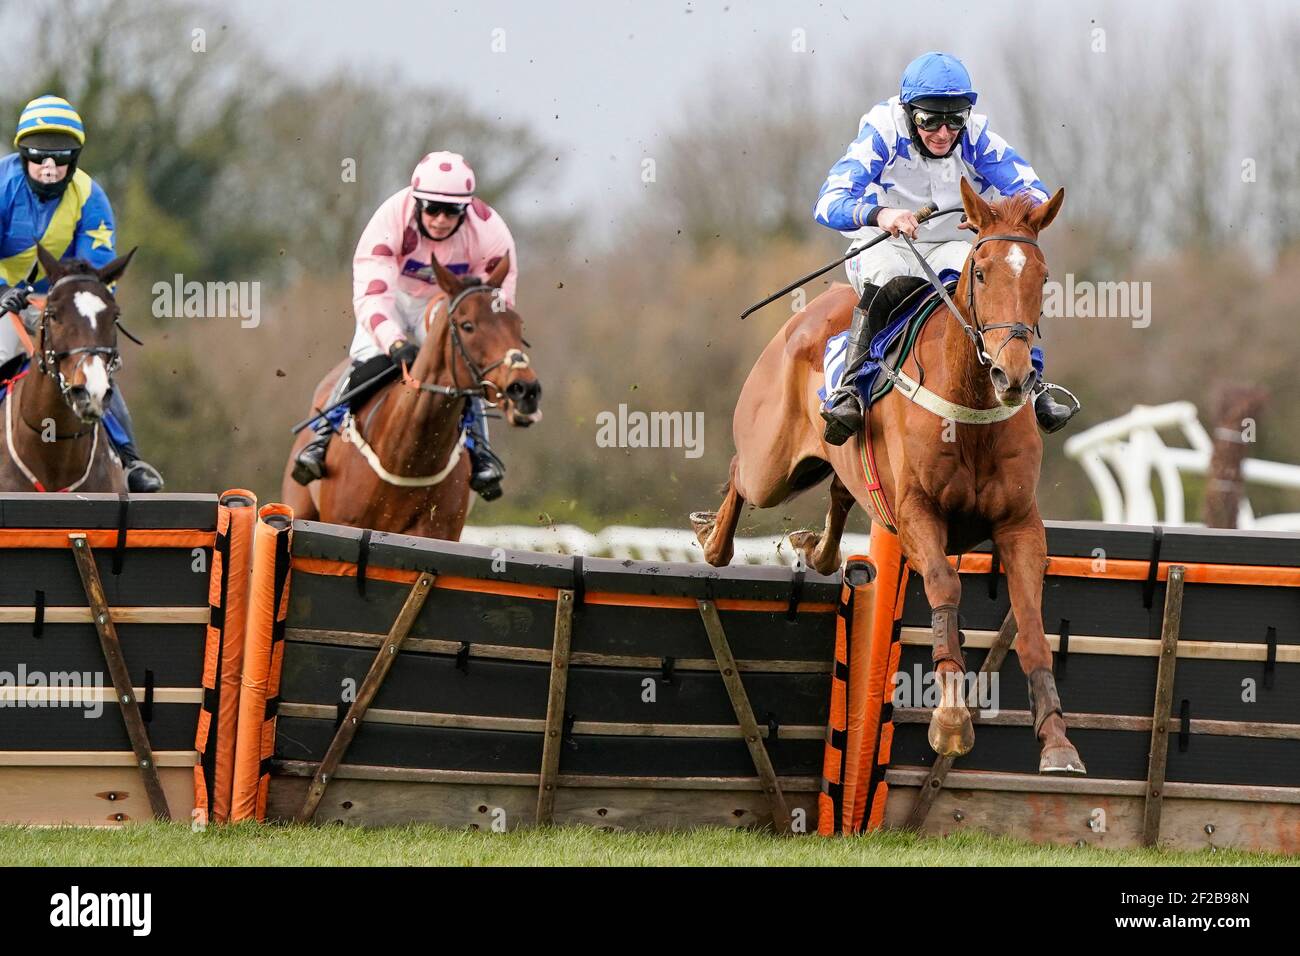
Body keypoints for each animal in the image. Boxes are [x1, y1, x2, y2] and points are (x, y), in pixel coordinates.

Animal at [284, 254, 543, 538]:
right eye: (467, 326)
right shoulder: (342, 523)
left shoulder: (435, 532)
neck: (405, 458)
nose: (525, 390)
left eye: (517, 324)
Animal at [691, 178, 1086, 780]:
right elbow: (945, 587)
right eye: (980, 272)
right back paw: (711, 538)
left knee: (838, 492)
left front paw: (1058, 742)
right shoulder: (918, 514)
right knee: (741, 476)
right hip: (771, 467)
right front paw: (951, 720)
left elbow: (1032, 626)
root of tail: (809, 312)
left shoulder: (1019, 522)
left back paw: (818, 549)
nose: (1012, 375)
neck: (969, 406)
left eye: (1041, 277)